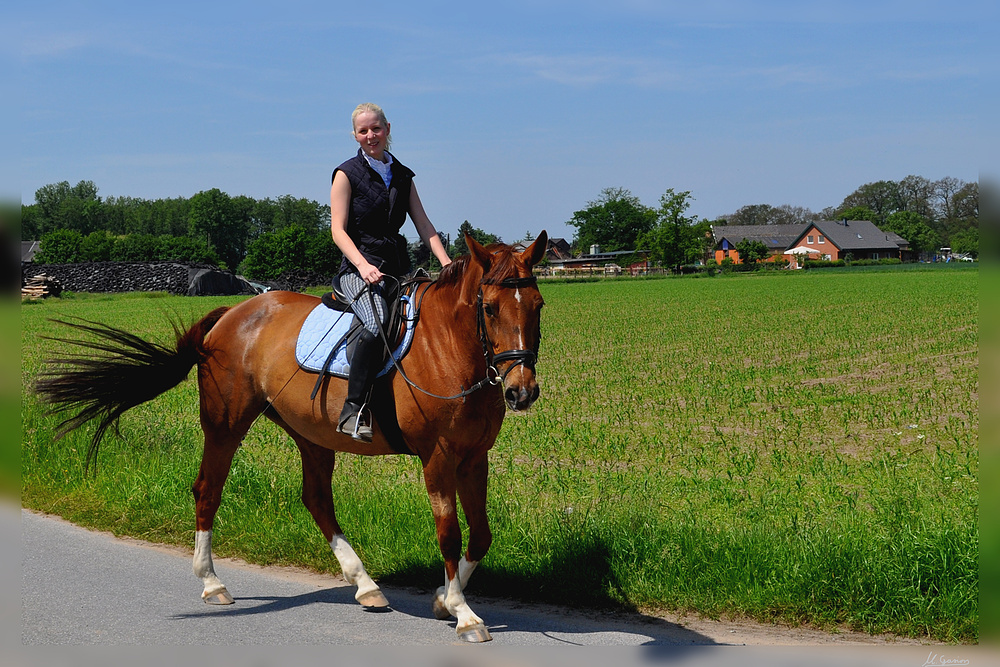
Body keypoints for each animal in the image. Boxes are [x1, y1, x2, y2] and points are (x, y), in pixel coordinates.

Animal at [35, 234, 548, 640]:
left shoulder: (474, 457)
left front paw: (444, 598)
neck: (449, 347)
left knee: (316, 498)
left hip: (309, 433)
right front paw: (464, 614)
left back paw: (366, 585)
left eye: (538, 306)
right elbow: (449, 532)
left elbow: (480, 534)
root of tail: (231, 313)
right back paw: (212, 583)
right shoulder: (437, 457)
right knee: (208, 490)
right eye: (489, 308)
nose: (521, 391)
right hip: (225, 424)